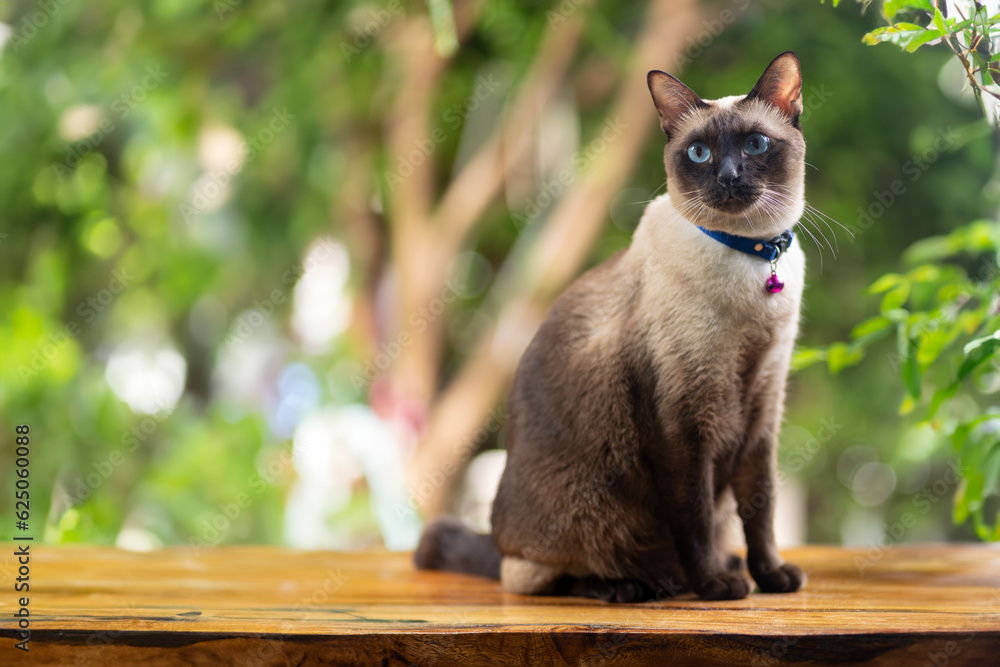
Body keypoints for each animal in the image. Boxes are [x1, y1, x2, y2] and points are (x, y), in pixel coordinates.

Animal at [416, 52, 812, 604]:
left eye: (755, 144)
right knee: (540, 576)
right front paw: (715, 586)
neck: (752, 260)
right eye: (699, 152)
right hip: (580, 516)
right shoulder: (682, 421)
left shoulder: (762, 408)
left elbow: (762, 508)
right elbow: (694, 515)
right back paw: (636, 586)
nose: (729, 176)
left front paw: (772, 578)